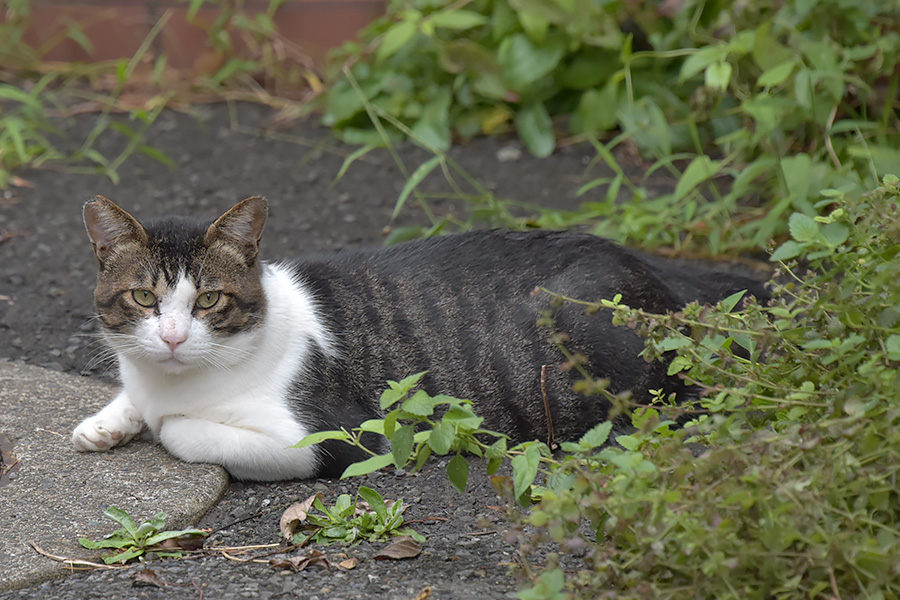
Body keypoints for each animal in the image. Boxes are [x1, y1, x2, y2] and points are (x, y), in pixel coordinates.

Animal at [72, 195, 768, 480]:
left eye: (209, 300)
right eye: (144, 299)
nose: (171, 337)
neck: (172, 380)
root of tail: (655, 275)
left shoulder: (332, 438)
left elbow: (182, 431)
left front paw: (157, 423)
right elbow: (131, 401)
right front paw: (104, 424)